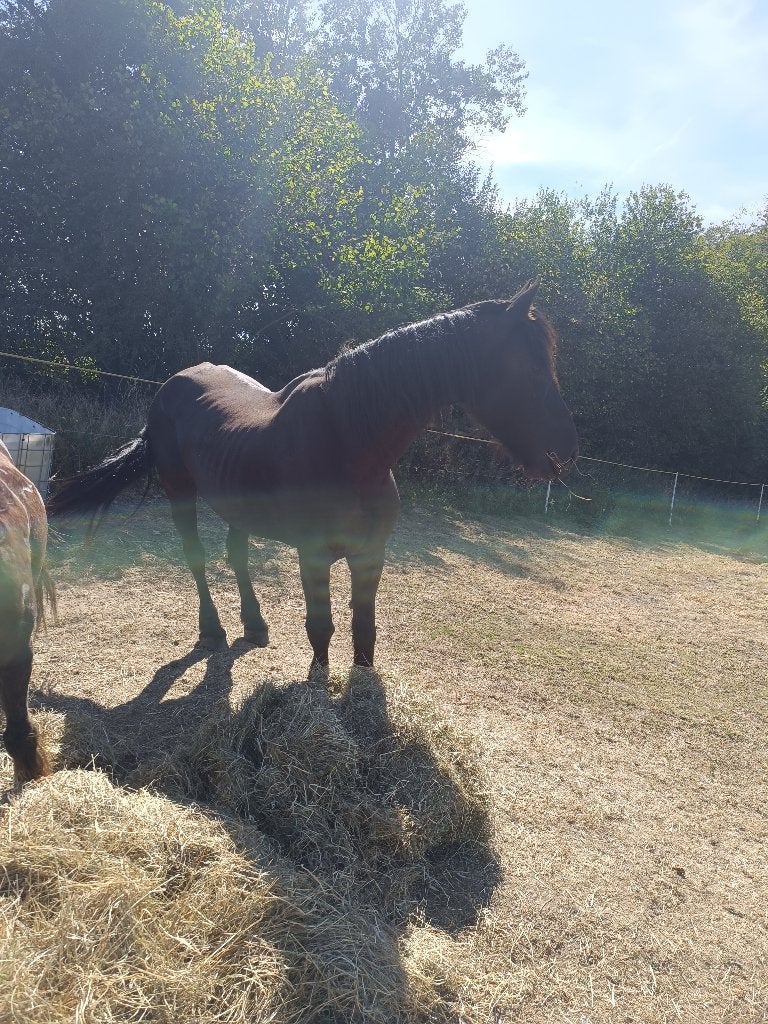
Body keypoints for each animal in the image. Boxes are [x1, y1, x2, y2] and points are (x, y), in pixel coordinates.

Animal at [47, 279, 578, 674]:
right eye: (532, 367)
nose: (567, 448)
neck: (350, 445)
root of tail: (169, 387)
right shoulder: (315, 555)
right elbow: (320, 630)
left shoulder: (370, 554)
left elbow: (364, 632)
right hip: (181, 492)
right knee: (196, 557)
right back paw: (213, 630)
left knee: (236, 555)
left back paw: (254, 624)